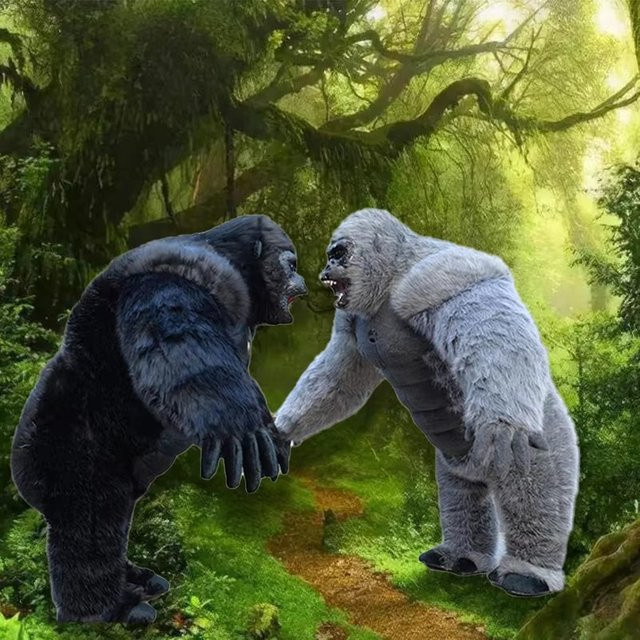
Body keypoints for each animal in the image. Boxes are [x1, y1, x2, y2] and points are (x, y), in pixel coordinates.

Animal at [11, 215, 306, 624]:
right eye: (289, 264)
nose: (303, 283)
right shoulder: (177, 280)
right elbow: (177, 341)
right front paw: (240, 420)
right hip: (67, 453)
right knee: (89, 528)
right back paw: (106, 610)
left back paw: (134, 579)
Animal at [275, 208, 579, 598]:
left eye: (339, 253)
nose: (325, 269)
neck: (391, 278)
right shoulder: (351, 318)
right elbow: (340, 374)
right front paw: (283, 431)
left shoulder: (437, 279)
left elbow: (491, 327)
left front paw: (503, 424)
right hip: (461, 462)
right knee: (461, 492)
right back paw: (462, 555)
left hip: (542, 431)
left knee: (535, 486)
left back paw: (529, 572)